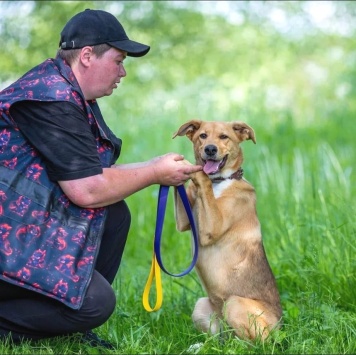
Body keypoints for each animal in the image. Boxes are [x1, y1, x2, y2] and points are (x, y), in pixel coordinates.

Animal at [172, 120, 280, 342]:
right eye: (203, 136)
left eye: (224, 137)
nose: (210, 149)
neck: (218, 183)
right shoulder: (184, 222)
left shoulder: (212, 227)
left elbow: (202, 176)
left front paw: (189, 168)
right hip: (201, 306)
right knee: (222, 340)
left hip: (235, 304)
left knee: (256, 344)